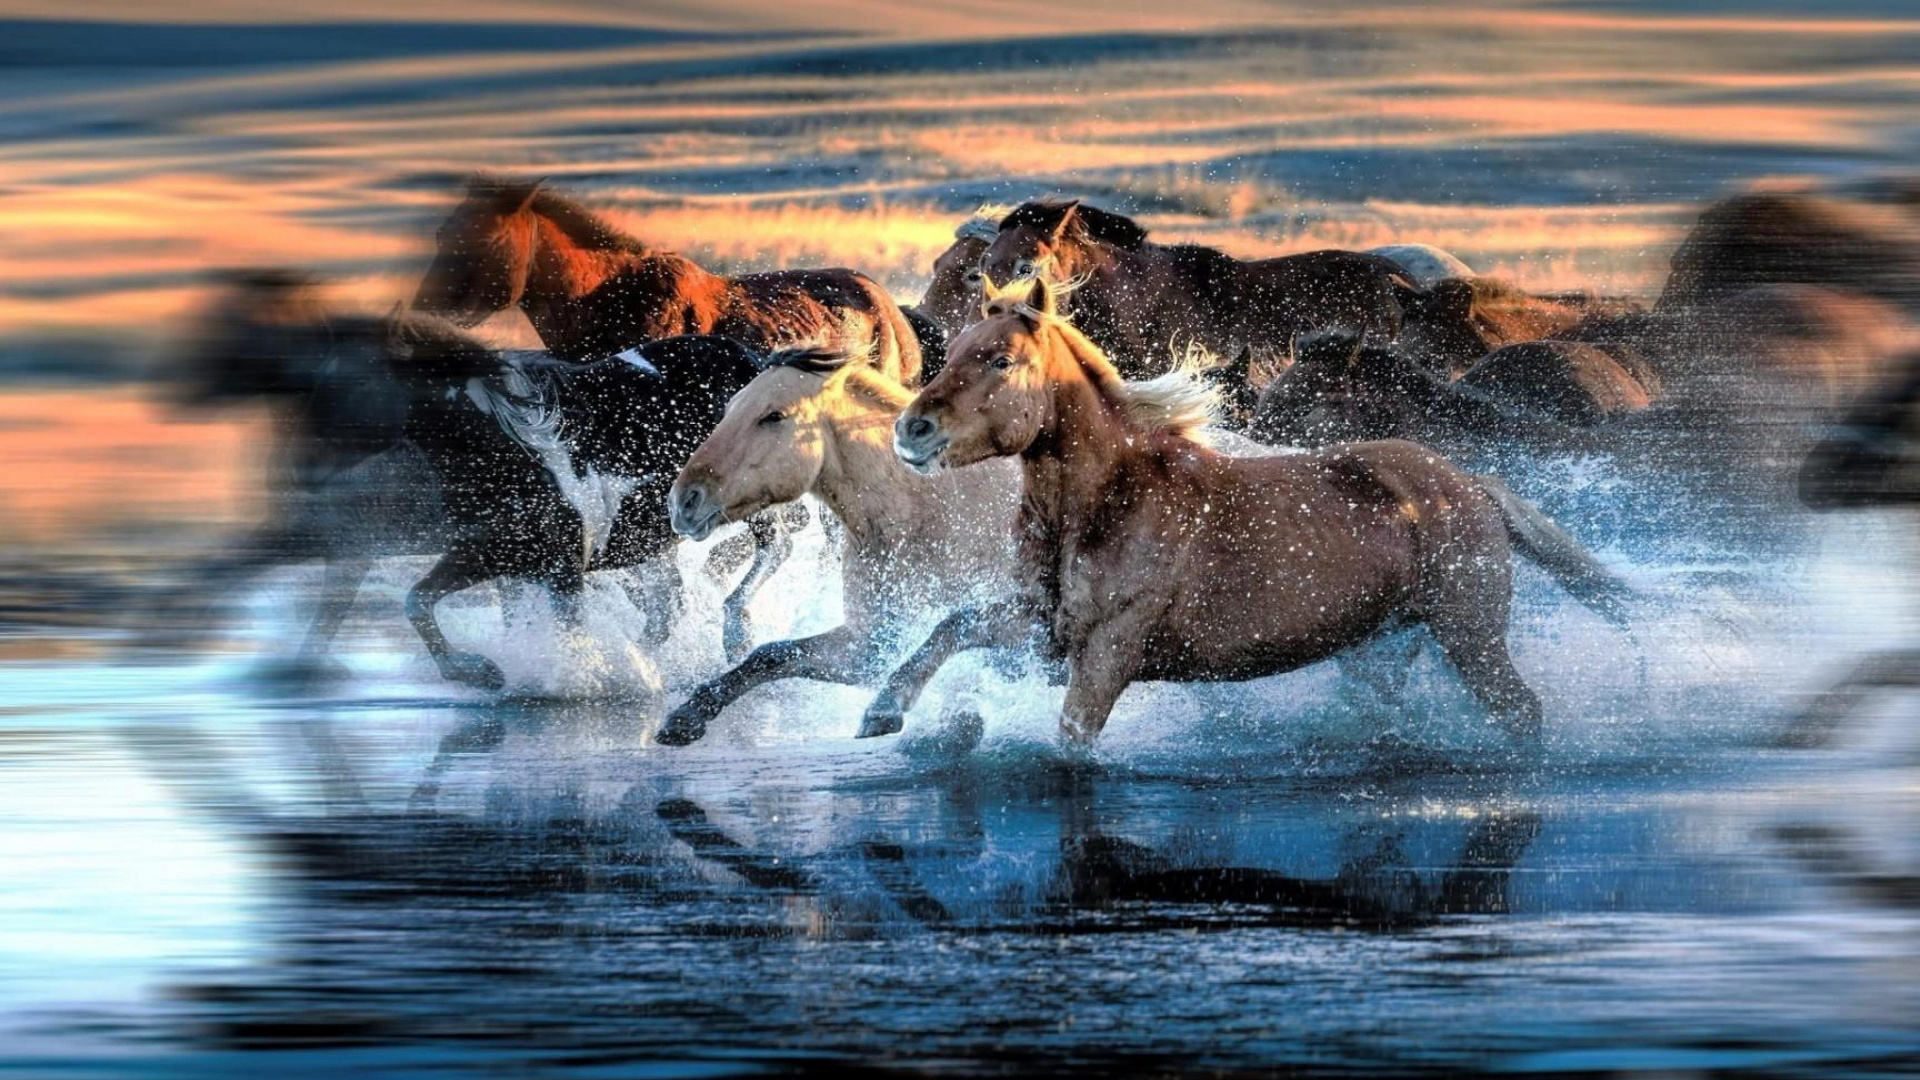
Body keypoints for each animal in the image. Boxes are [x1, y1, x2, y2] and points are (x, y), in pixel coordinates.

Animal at [652, 350, 1022, 745]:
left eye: (773, 416)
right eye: (729, 409)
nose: (683, 502)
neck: (929, 513)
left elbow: (955, 626)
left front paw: (885, 708)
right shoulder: (872, 642)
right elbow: (771, 655)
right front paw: (687, 715)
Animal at [873, 276, 1631, 745]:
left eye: (1000, 359)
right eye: (954, 352)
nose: (912, 430)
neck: (1108, 503)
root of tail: (1469, 483)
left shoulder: (1109, 651)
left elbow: (1070, 737)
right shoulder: (1043, 629)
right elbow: (952, 626)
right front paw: (881, 714)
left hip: (1470, 636)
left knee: (1522, 712)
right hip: (1380, 652)